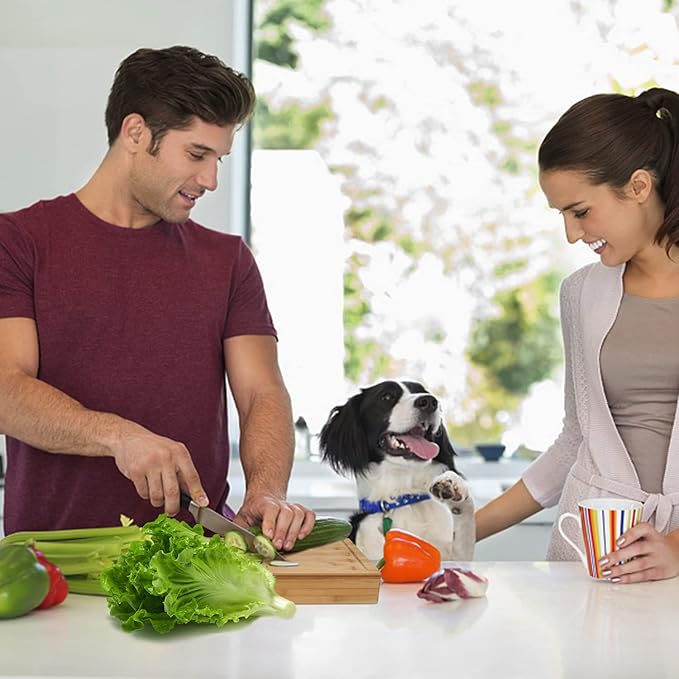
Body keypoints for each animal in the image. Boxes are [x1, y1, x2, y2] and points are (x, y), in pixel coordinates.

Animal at [320, 382, 476, 564]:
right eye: (387, 396)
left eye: (422, 391)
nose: (430, 401)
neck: (403, 495)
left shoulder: (456, 556)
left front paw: (453, 485)